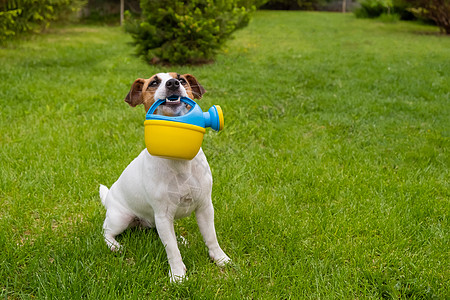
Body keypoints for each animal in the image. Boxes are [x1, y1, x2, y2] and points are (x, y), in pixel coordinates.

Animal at [99, 72, 232, 282]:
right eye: (153, 82)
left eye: (182, 79)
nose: (173, 83)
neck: (179, 162)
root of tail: (108, 199)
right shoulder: (163, 215)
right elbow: (172, 250)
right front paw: (177, 275)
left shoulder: (205, 207)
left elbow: (211, 237)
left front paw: (220, 259)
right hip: (121, 218)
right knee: (106, 231)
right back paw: (114, 246)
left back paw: (179, 238)